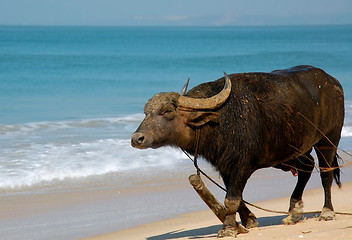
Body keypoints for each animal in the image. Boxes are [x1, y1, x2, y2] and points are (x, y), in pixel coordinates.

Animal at [131, 65, 342, 236]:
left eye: (167, 111)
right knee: (307, 167)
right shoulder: (224, 166)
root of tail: (332, 82)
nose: (137, 139)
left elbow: (231, 199)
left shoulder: (242, 166)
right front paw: (249, 220)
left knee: (326, 173)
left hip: (328, 139)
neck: (221, 120)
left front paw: (228, 228)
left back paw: (327, 211)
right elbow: (235, 197)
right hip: (296, 148)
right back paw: (294, 212)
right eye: (146, 112)